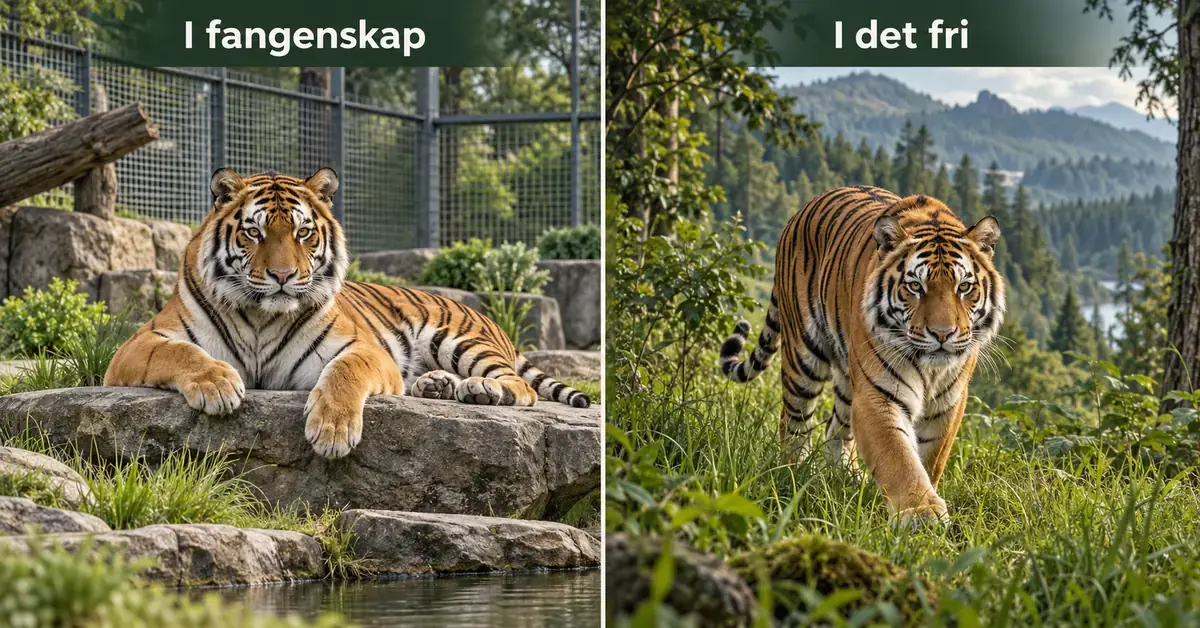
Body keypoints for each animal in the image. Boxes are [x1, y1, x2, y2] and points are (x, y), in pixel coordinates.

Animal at [105, 167, 591, 460]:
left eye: (302, 232)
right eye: (254, 233)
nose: (282, 275)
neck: (262, 317)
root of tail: (484, 317)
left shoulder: (365, 350)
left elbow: (345, 371)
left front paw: (333, 430)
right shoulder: (136, 345)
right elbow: (182, 353)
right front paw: (218, 383)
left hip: (461, 340)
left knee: (520, 388)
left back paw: (480, 390)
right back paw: (437, 386)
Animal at [718, 186, 1004, 526]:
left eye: (964, 287)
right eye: (915, 286)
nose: (942, 334)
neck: (931, 370)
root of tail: (800, 212)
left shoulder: (949, 402)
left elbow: (930, 457)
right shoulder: (878, 394)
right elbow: (897, 456)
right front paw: (921, 513)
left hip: (846, 378)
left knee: (836, 429)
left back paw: (847, 478)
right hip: (803, 359)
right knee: (793, 422)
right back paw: (794, 473)